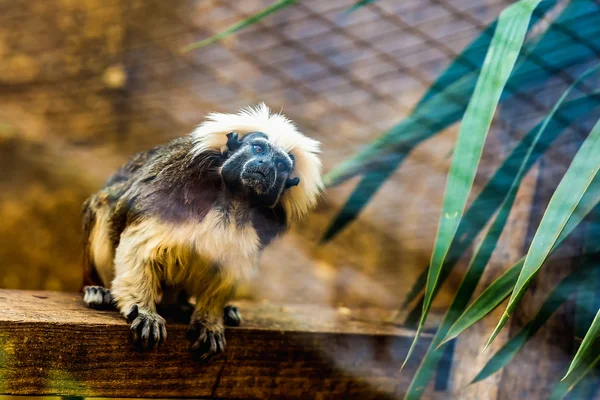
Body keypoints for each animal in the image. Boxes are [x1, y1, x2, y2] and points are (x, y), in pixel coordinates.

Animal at [82, 104, 324, 358]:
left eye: (280, 165)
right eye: (258, 149)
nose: (264, 165)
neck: (234, 200)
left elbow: (228, 271)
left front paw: (209, 321)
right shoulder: (168, 191)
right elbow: (140, 248)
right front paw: (145, 312)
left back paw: (189, 306)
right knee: (104, 202)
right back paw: (99, 291)